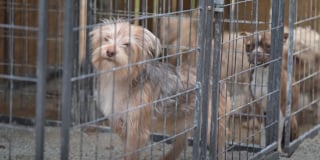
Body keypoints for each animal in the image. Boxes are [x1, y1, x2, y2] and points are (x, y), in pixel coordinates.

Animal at [89, 19, 231, 160]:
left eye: (126, 44)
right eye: (106, 38)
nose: (110, 52)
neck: (119, 77)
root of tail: (211, 77)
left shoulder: (136, 129)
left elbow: (132, 153)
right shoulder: (120, 122)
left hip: (213, 124)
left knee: (219, 146)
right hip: (179, 121)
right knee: (182, 143)